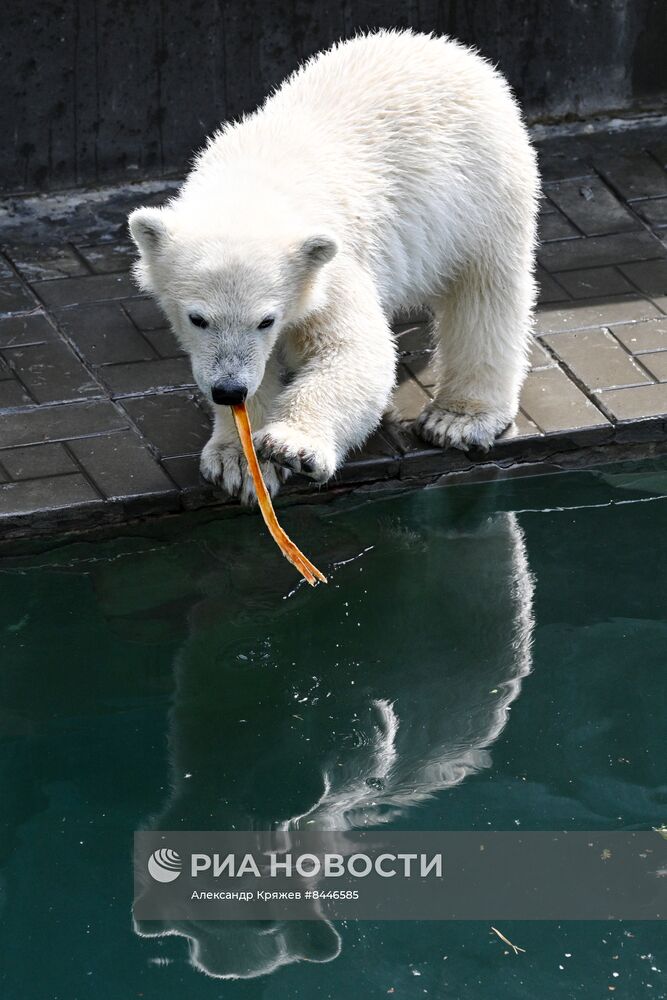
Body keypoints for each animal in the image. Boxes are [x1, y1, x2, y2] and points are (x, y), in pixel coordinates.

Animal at [129, 28, 536, 504]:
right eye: (197, 318)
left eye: (266, 320)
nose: (229, 389)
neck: (253, 182)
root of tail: (449, 49)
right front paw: (238, 462)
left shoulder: (329, 264)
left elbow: (355, 352)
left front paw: (291, 446)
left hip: (479, 192)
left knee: (485, 293)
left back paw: (460, 417)